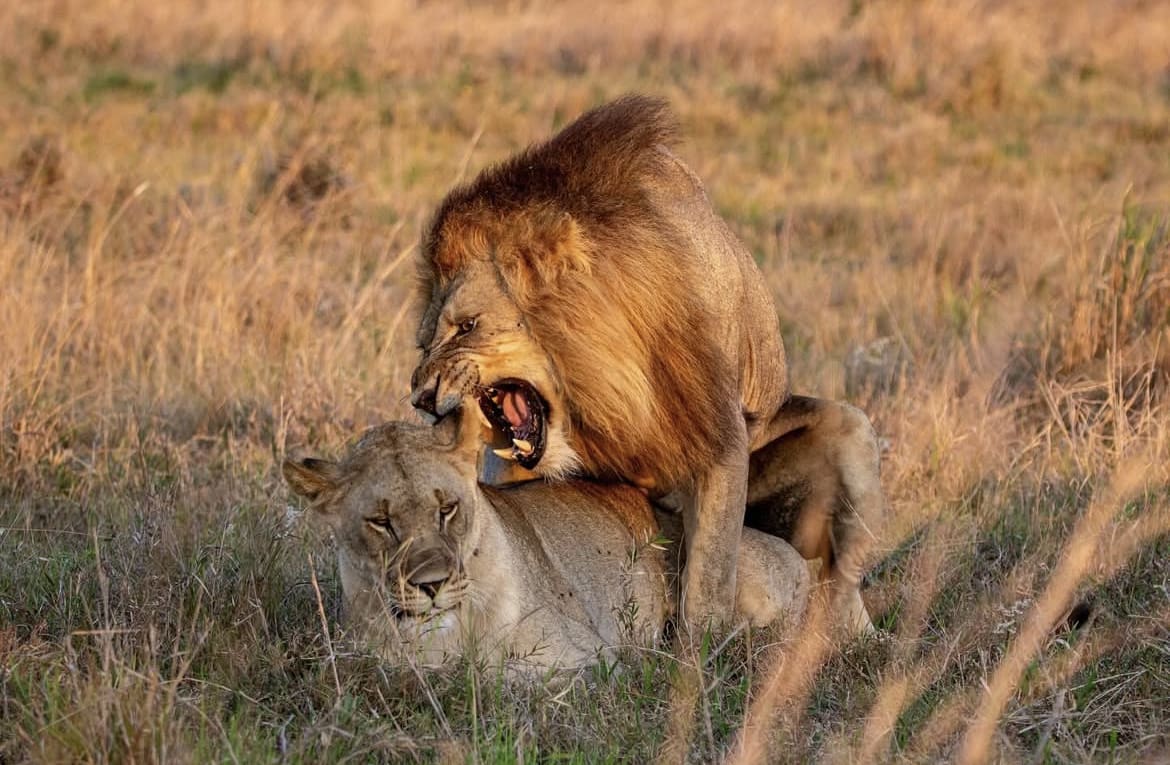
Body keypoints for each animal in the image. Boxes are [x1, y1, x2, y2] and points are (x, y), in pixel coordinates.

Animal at [283, 418, 814, 673]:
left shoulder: (592, 660)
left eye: (447, 509)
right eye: (380, 522)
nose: (432, 586)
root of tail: (804, 561)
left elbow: (495, 677)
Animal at [414, 94, 884, 636]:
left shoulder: (720, 437)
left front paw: (696, 652)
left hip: (850, 433)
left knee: (838, 575)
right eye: (423, 344)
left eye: (467, 326)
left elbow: (709, 579)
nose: (420, 397)